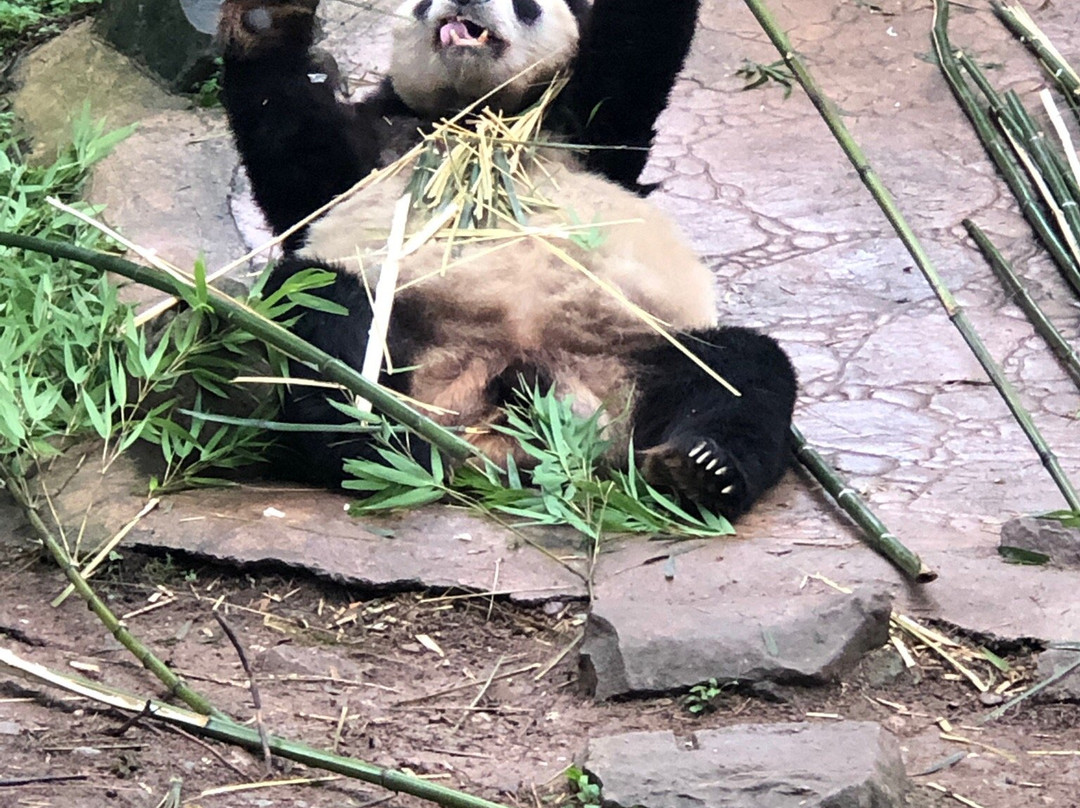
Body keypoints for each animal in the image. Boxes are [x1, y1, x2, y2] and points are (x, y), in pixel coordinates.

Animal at [217, 0, 794, 518]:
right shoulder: (376, 150)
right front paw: (264, 20)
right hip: (407, 338)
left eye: (526, 3)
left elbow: (636, 49)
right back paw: (371, 440)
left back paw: (701, 468)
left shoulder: (583, 124)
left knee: (742, 371)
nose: (465, 3)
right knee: (319, 310)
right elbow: (300, 169)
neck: (476, 115)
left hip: (635, 355)